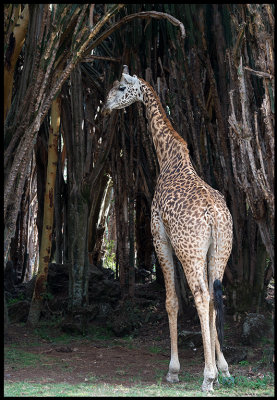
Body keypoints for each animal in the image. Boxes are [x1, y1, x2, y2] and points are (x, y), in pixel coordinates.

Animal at [102, 66, 232, 390]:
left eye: (121, 87)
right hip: (220, 251)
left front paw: (174, 370)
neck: (169, 158)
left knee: (201, 297)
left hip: (190, 252)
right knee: (215, 297)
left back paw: (207, 377)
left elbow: (171, 301)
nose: (106, 105)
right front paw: (223, 367)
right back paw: (220, 370)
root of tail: (214, 216)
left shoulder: (160, 238)